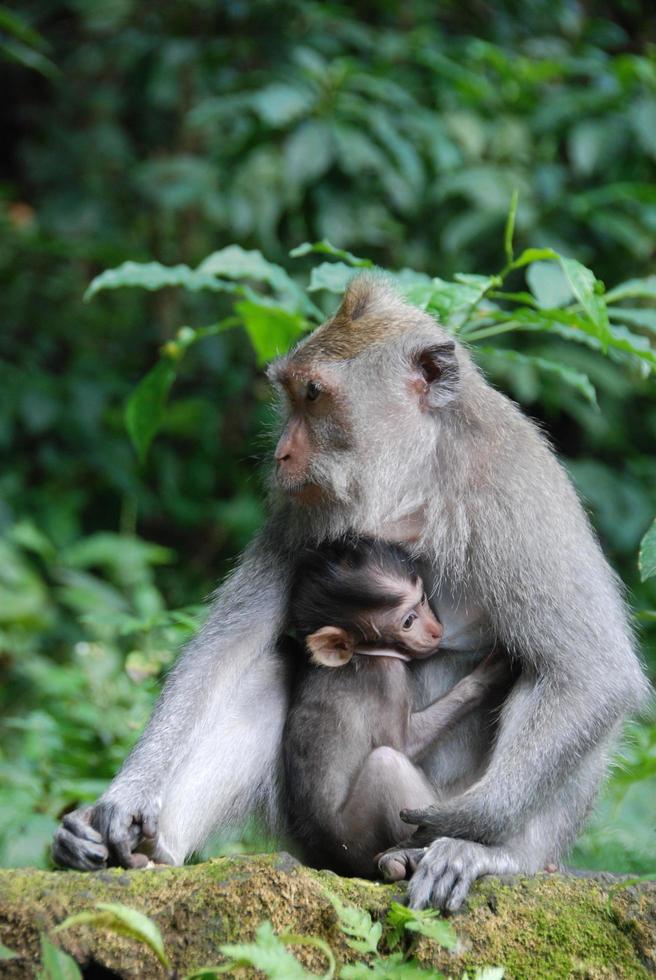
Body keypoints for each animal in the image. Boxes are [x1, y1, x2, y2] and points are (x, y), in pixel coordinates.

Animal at [284, 540, 510, 876]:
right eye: (408, 622)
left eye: (423, 600)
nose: (435, 630)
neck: (364, 654)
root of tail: (340, 864)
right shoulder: (388, 677)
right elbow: (403, 744)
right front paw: (485, 676)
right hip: (359, 838)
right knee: (387, 762)